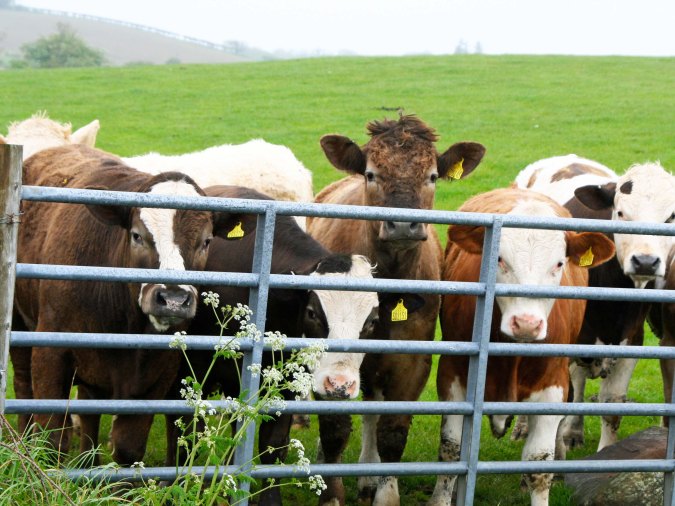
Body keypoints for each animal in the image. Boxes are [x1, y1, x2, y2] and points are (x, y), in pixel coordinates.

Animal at [11, 144, 237, 465]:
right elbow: (52, 441)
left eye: (206, 241)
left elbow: (128, 447)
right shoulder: (50, 355)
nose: (173, 299)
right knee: (22, 385)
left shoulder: (158, 372)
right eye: (137, 235)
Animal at [306, 114, 486, 506]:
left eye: (432, 176)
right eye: (371, 173)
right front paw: (332, 489)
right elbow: (334, 428)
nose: (403, 224)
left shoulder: (410, 361)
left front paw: (384, 491)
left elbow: (392, 431)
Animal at [430, 188, 615, 506]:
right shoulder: (453, 377)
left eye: (559, 264)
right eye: (500, 259)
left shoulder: (551, 386)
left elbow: (539, 465)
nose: (527, 323)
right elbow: (452, 452)